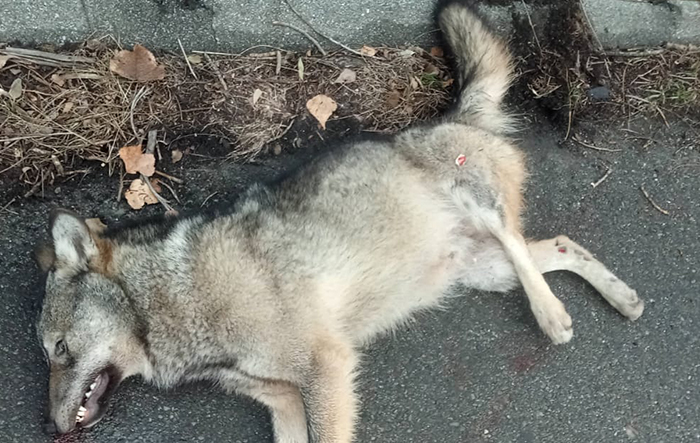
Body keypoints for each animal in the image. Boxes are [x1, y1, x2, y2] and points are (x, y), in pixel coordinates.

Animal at [35, 1, 644, 442]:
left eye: (58, 350)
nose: (51, 428)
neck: (172, 300)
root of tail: (452, 116)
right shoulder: (283, 399)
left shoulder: (325, 370)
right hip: (483, 274)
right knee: (560, 246)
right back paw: (622, 298)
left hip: (480, 209)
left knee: (523, 245)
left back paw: (551, 314)